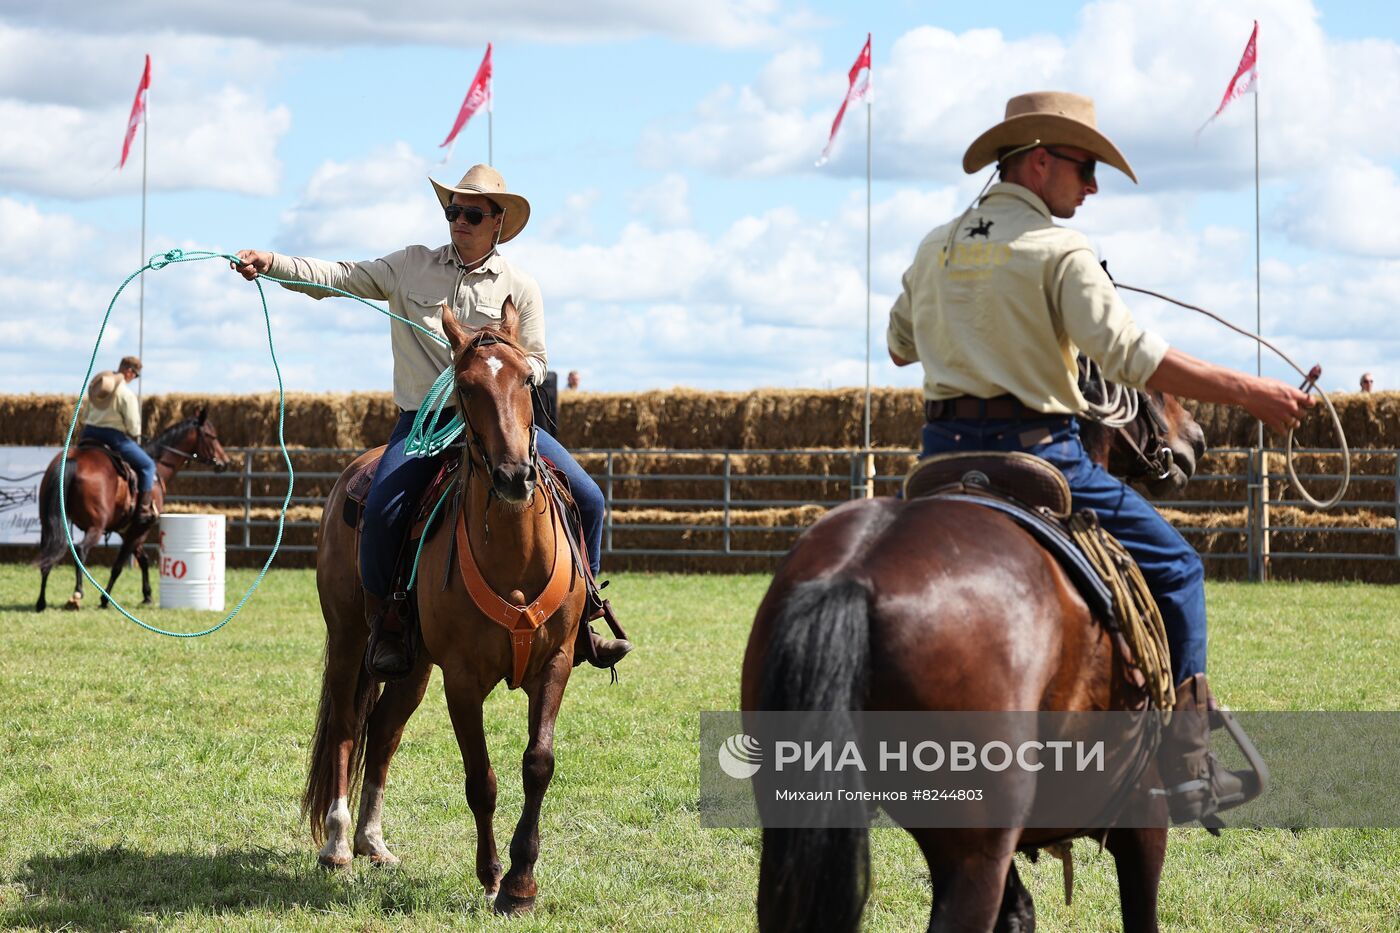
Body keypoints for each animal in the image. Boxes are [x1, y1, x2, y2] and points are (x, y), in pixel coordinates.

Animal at [32, 406, 231, 610]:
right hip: (96, 526)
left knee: (49, 552)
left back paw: (41, 601)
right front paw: (105, 599)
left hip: (49, 523)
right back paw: (77, 594)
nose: (225, 462)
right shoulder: (141, 528)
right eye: (212, 436)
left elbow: (142, 559)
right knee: (80, 550)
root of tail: (74, 459)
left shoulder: (127, 530)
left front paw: (147, 595)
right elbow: (119, 566)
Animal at [303, 301, 588, 913]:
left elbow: (538, 764)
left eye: (527, 379)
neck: (514, 557)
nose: (513, 476)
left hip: (411, 663)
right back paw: (338, 843)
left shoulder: (555, 664)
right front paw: (493, 875)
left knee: (384, 728)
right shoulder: (461, 678)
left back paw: (373, 843)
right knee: (345, 725)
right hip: (349, 639)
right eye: (467, 386)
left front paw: (523, 882)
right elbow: (481, 778)